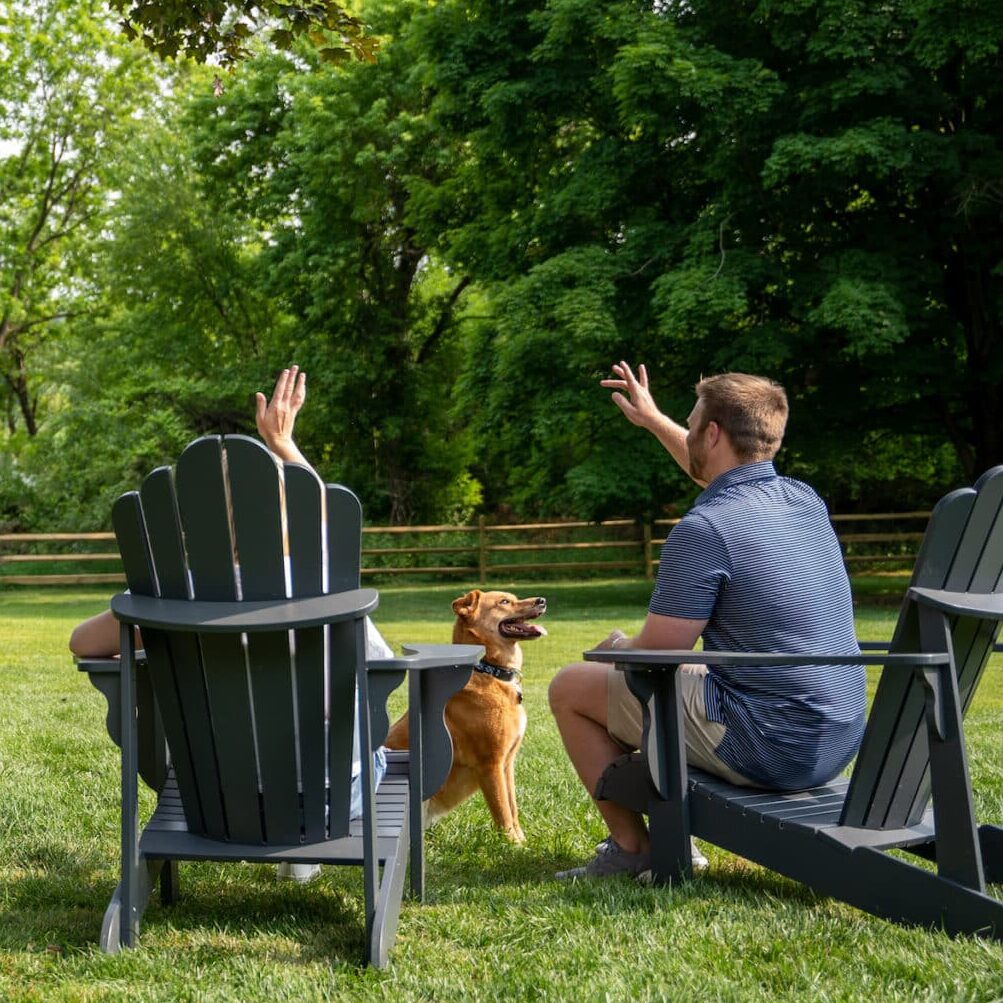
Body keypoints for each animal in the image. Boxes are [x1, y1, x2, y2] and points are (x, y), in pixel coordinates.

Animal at [383, 585, 545, 838]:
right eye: (504, 602)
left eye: (514, 598)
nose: (542, 600)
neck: (488, 670)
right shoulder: (490, 764)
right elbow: (503, 813)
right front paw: (512, 844)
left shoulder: (507, 763)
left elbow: (513, 809)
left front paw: (522, 841)